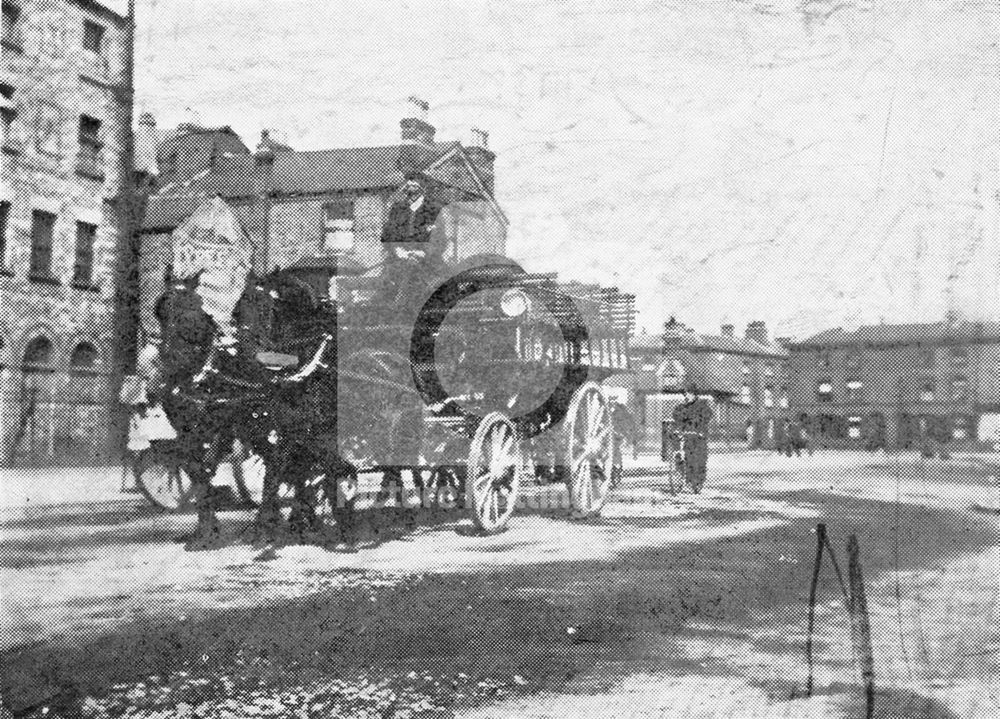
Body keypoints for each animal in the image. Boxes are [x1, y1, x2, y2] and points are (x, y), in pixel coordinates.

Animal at [154, 268, 358, 548]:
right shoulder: (191, 430)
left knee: (294, 465)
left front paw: (262, 527)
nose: (181, 348)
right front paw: (205, 531)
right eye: (164, 304)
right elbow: (198, 471)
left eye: (197, 304)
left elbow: (276, 470)